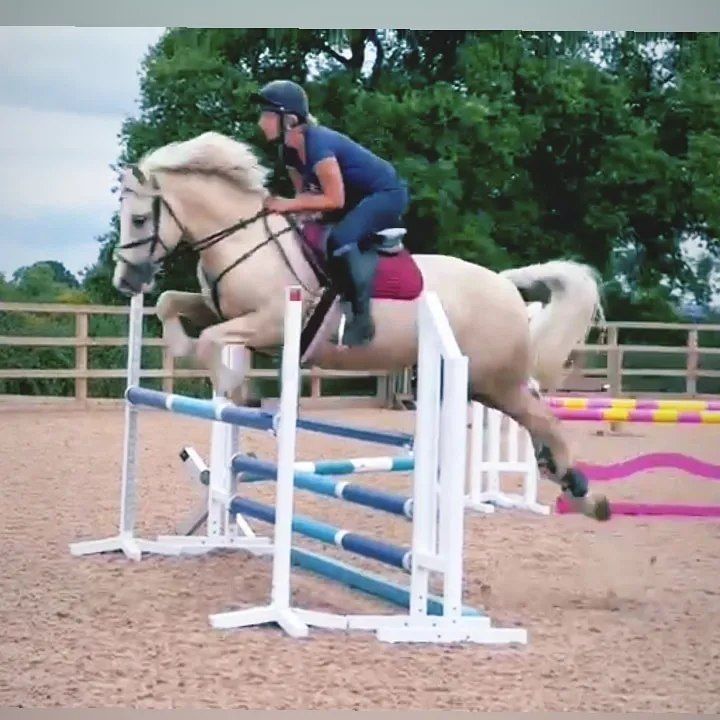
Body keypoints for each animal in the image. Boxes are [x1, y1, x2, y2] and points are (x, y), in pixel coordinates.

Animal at [115, 131, 612, 524]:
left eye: (139, 219)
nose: (125, 282)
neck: (243, 239)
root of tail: (505, 286)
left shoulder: (273, 322)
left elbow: (211, 342)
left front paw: (238, 389)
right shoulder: (220, 310)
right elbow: (171, 305)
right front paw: (200, 361)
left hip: (495, 381)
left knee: (545, 419)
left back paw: (584, 494)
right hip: (482, 385)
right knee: (538, 423)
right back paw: (575, 488)